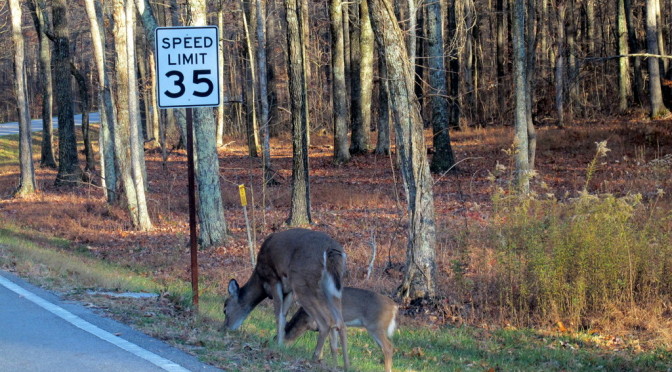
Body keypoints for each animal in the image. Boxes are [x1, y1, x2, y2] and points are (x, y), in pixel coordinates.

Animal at [224, 230, 352, 370]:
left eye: (225, 309)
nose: (225, 328)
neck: (260, 280)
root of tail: (331, 250)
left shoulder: (273, 278)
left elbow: (278, 314)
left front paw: (277, 345)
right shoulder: (289, 289)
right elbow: (284, 315)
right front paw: (280, 343)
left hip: (302, 281)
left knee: (326, 322)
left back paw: (315, 357)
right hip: (333, 287)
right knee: (339, 322)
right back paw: (342, 365)